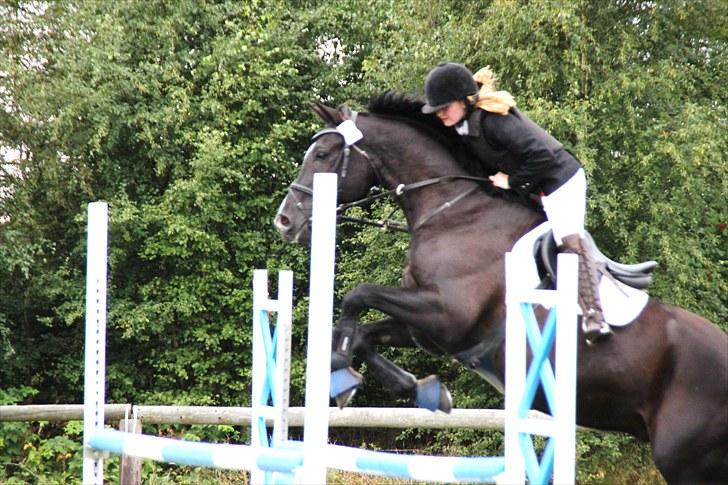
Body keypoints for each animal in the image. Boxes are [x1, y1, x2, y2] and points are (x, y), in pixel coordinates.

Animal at [274, 92, 728, 482]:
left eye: (323, 155)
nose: (284, 221)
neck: (450, 211)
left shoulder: (447, 314)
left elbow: (357, 295)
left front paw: (342, 373)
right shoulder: (428, 330)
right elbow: (363, 333)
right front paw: (419, 390)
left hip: (683, 458)